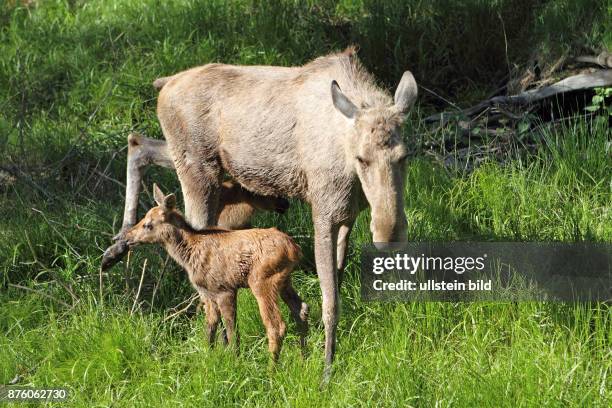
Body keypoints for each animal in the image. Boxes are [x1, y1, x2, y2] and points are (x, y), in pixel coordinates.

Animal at [123, 183, 308, 358]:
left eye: (148, 225)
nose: (127, 237)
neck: (188, 255)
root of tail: (295, 249)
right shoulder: (207, 293)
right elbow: (211, 327)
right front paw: (209, 355)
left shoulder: (224, 289)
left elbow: (231, 330)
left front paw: (235, 359)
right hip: (285, 281)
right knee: (302, 310)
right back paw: (303, 357)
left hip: (262, 281)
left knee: (276, 326)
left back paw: (273, 367)